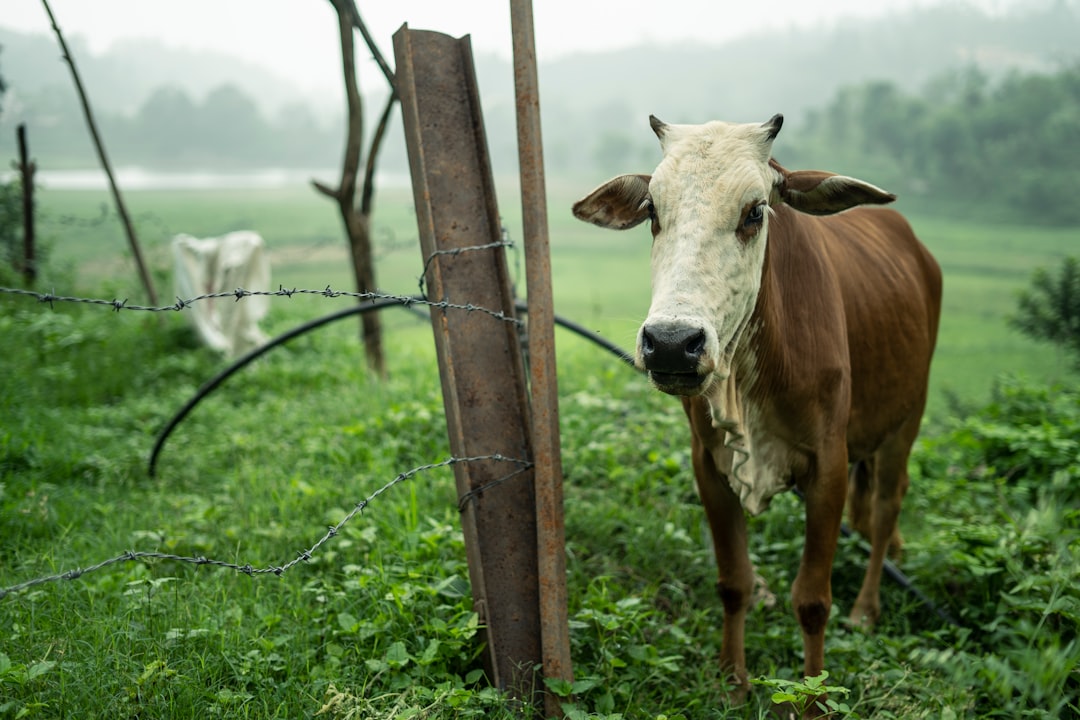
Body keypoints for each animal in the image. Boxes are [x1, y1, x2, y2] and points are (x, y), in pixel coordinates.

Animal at [574, 117, 937, 699]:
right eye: (652, 211)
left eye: (754, 212)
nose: (671, 343)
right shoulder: (709, 465)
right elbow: (734, 583)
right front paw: (732, 679)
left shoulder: (828, 467)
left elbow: (812, 601)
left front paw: (813, 696)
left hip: (907, 420)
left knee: (885, 510)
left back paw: (866, 608)